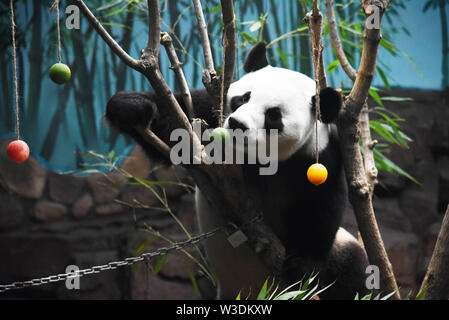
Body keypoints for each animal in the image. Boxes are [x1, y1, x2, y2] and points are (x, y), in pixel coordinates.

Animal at [106, 42, 372, 300]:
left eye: (273, 115)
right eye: (244, 98)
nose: (237, 124)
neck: (258, 158)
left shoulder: (320, 154)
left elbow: (321, 206)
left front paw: (303, 267)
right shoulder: (208, 112)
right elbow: (172, 128)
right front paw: (131, 107)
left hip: (341, 249)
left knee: (355, 270)